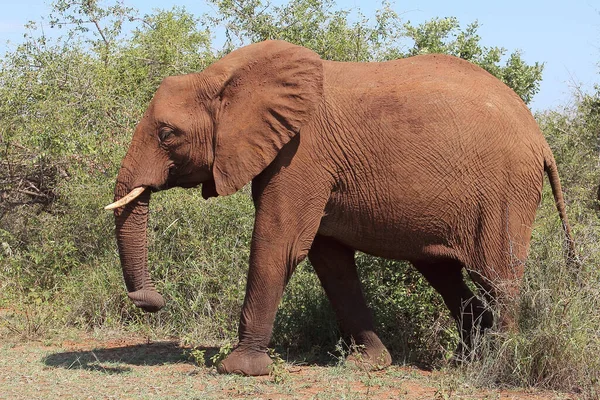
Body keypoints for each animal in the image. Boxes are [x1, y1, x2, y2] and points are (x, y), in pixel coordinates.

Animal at [105, 39, 576, 376]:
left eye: (167, 134)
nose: (152, 300)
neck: (225, 76)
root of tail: (540, 138)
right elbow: (329, 260)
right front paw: (368, 364)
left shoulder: (301, 155)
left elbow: (279, 244)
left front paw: (238, 369)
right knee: (444, 271)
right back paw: (466, 361)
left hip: (504, 192)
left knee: (498, 276)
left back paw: (497, 366)